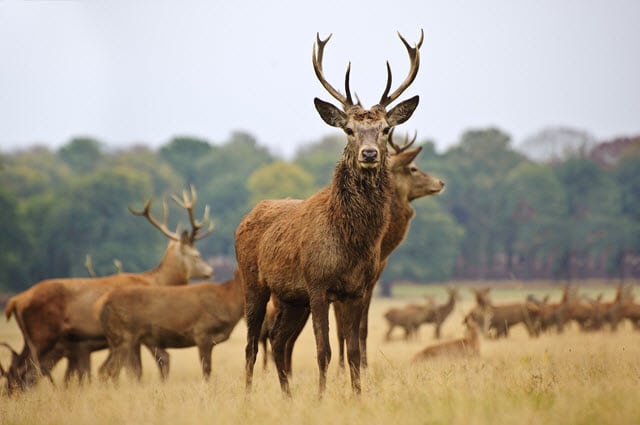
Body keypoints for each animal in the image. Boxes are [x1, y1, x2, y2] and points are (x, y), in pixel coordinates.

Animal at [1, 187, 212, 392]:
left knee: (19, 369)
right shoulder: (141, 333)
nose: (211, 270)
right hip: (42, 335)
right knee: (26, 371)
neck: (156, 282)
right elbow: (143, 367)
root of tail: (15, 301)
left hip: (32, 338)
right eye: (197, 254)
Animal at [96, 268, 244, 380]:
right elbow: (206, 369)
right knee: (111, 369)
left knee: (104, 369)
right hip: (124, 336)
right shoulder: (201, 332)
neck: (229, 302)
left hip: (116, 339)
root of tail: (102, 307)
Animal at [235, 30, 424, 398]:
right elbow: (324, 350)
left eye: (384, 129)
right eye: (349, 130)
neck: (351, 242)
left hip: (292, 298)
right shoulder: (318, 283)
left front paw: (357, 395)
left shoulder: (357, 289)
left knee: (277, 340)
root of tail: (246, 217)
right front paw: (322, 398)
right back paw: (248, 396)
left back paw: (287, 396)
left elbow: (353, 351)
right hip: (254, 282)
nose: (369, 153)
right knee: (251, 344)